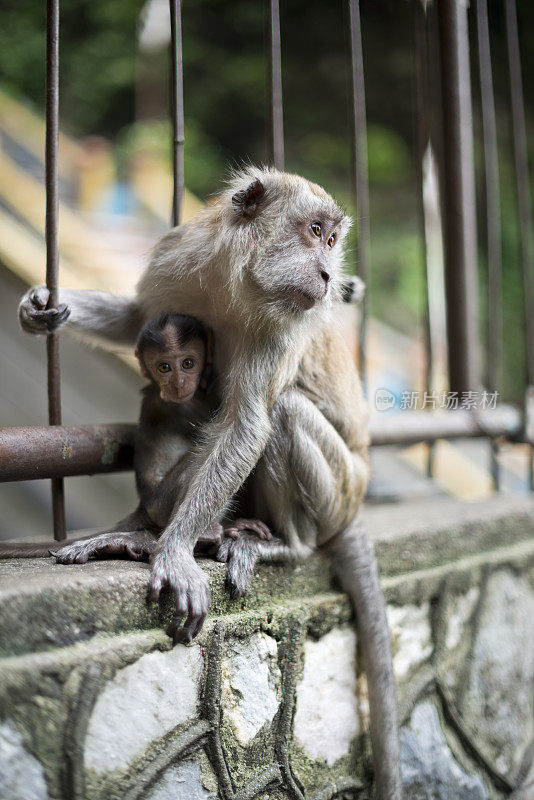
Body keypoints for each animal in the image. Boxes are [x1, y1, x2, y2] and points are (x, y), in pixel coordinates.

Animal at [19, 169, 402, 800]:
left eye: (331, 238)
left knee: (286, 414)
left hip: (340, 488)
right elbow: (136, 318)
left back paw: (277, 544)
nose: (328, 275)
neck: (240, 283)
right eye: (315, 232)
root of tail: (356, 505)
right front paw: (44, 309)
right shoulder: (178, 255)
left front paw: (171, 549)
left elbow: (248, 423)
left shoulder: (285, 325)